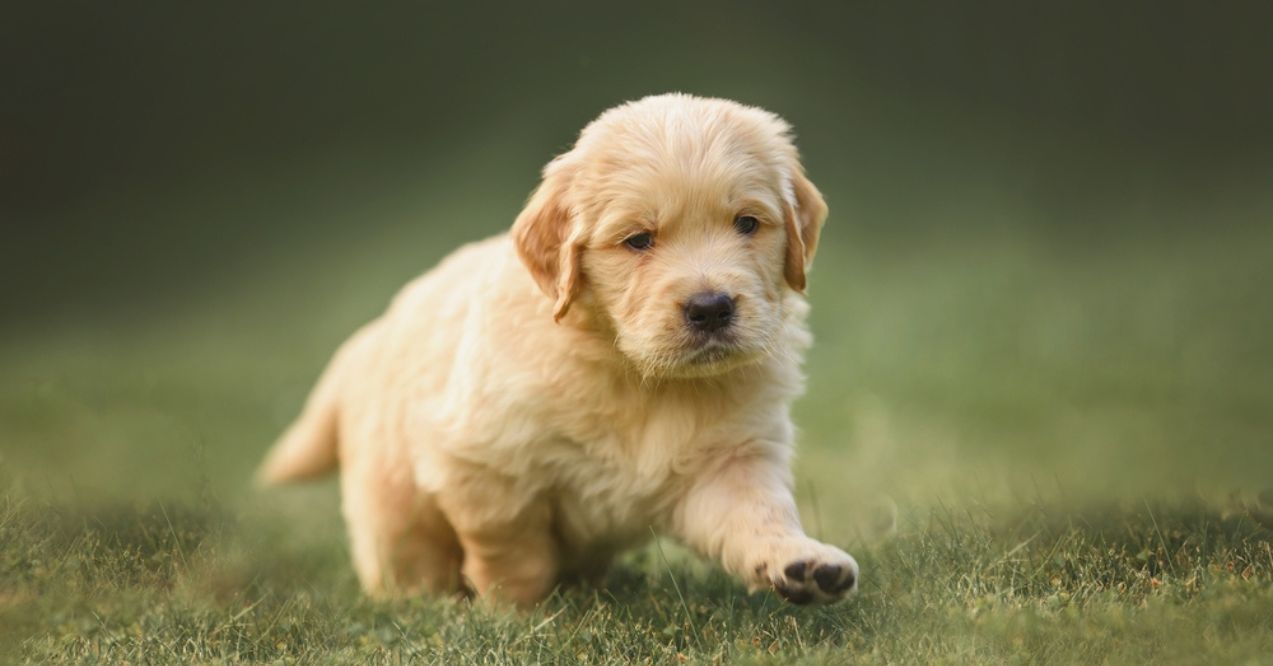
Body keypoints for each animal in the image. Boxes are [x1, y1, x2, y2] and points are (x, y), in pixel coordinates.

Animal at [257, 93, 855, 608]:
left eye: (748, 223)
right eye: (638, 240)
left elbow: (758, 515)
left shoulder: (730, 460)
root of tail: (369, 337)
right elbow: (510, 547)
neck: (637, 373)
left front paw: (802, 564)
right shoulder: (483, 460)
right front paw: (513, 613)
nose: (711, 308)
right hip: (391, 509)